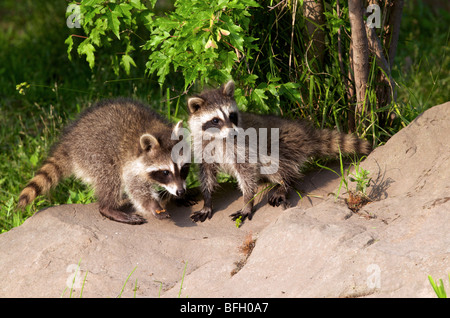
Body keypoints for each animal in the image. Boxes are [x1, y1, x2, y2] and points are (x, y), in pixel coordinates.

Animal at [18, 98, 191, 225]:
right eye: (165, 172)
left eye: (183, 169)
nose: (181, 191)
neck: (155, 129)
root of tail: (69, 141)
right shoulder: (131, 163)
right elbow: (135, 187)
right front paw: (153, 205)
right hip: (94, 153)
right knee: (110, 177)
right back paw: (107, 207)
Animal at [188, 80, 370, 222]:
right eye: (215, 120)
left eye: (231, 115)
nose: (234, 132)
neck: (219, 138)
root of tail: (303, 132)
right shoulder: (202, 147)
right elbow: (206, 174)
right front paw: (207, 200)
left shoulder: (242, 146)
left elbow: (247, 173)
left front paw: (247, 201)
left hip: (283, 144)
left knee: (277, 164)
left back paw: (285, 183)